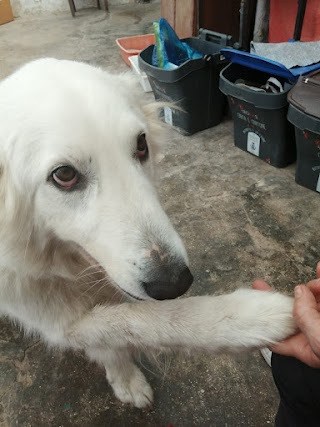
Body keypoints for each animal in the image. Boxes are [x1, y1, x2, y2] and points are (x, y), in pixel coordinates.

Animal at [0, 58, 296, 410]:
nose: (175, 282)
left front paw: (123, 376)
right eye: (64, 175)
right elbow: (145, 320)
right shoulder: (56, 321)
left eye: (141, 145)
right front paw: (248, 317)